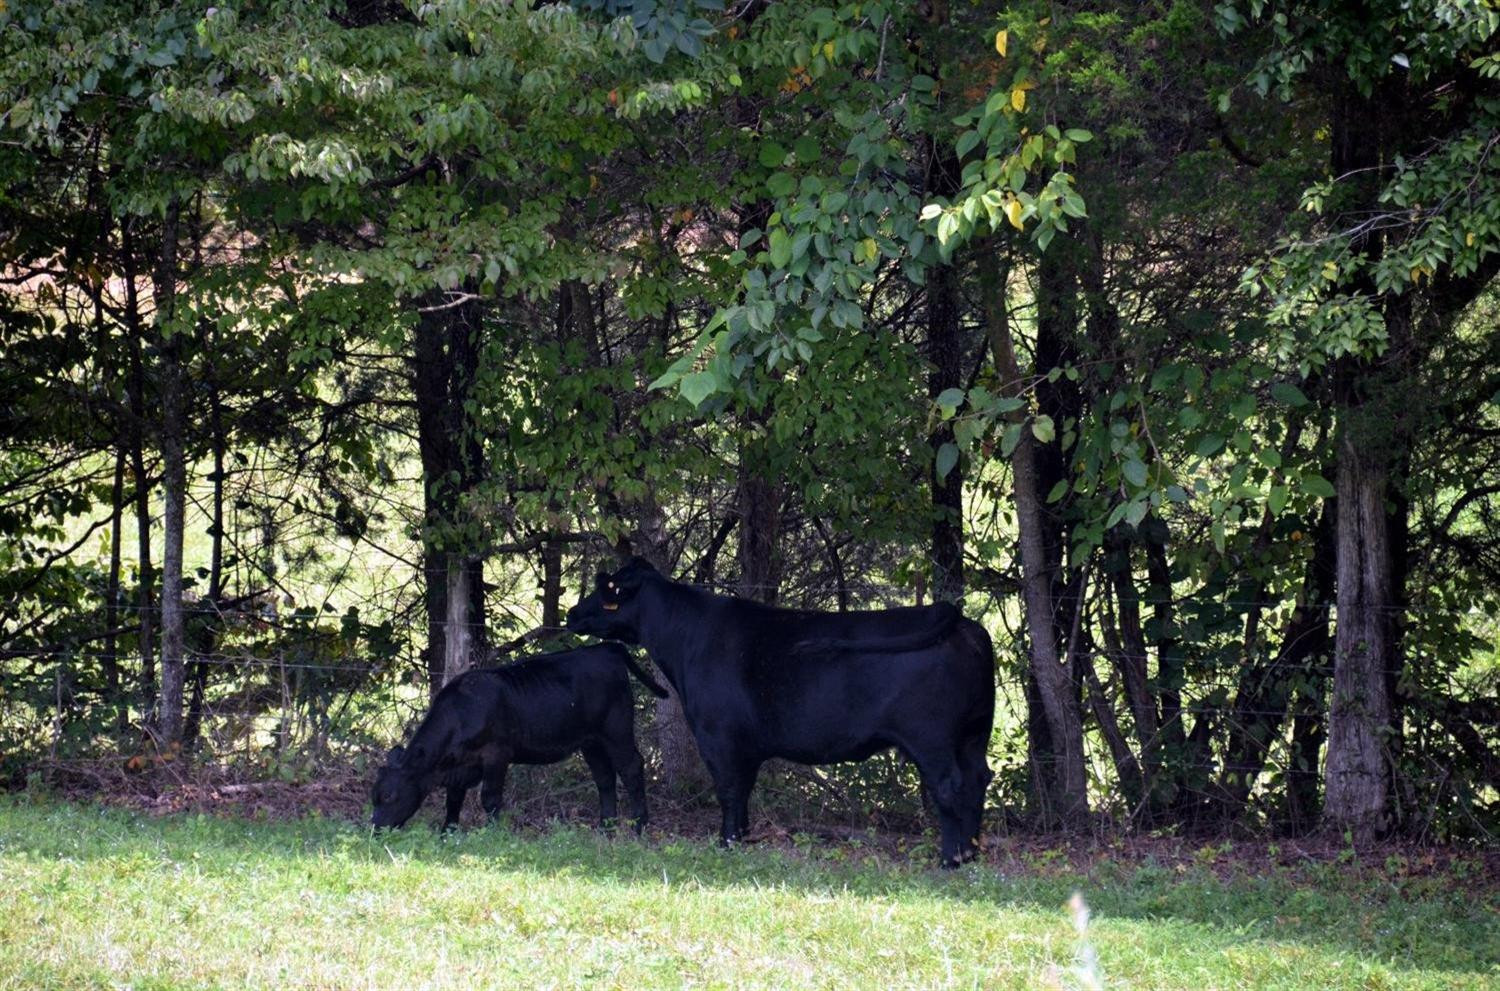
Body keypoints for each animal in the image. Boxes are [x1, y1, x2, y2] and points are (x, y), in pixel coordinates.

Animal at [369, 643, 668, 833]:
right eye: (373, 796)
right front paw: (447, 834)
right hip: (591, 741)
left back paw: (639, 826)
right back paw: (606, 829)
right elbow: (453, 800)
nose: (374, 830)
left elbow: (490, 798)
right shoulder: (460, 767)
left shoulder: (497, 754)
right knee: (604, 778)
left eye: (389, 795)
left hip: (616, 729)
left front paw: (492, 834)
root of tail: (605, 648)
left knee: (631, 767)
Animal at [565, 558, 994, 868]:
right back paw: (971, 851)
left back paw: (950, 858)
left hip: (931, 738)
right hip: (974, 734)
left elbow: (728, 789)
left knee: (950, 785)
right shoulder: (746, 746)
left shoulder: (717, 737)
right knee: (978, 779)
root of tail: (960, 620)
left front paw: (726, 842)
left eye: (608, 590)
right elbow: (743, 791)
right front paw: (741, 836)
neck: (687, 639)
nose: (571, 613)